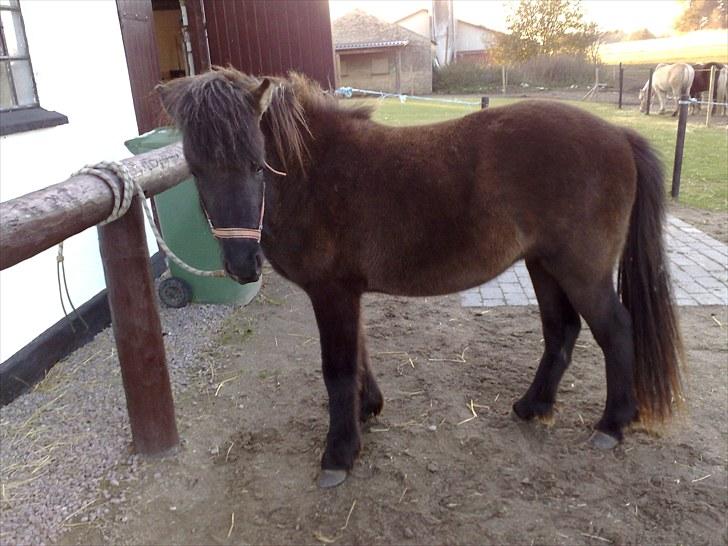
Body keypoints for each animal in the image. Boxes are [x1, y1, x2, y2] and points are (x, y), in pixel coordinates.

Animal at [158, 66, 684, 486]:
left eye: (256, 163)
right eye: (195, 170)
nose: (242, 265)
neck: (315, 173)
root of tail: (619, 135)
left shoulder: (331, 293)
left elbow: (338, 368)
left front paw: (339, 453)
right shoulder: (347, 293)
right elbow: (360, 354)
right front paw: (367, 410)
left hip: (582, 272)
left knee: (615, 331)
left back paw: (611, 425)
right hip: (544, 265)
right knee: (562, 331)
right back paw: (532, 407)